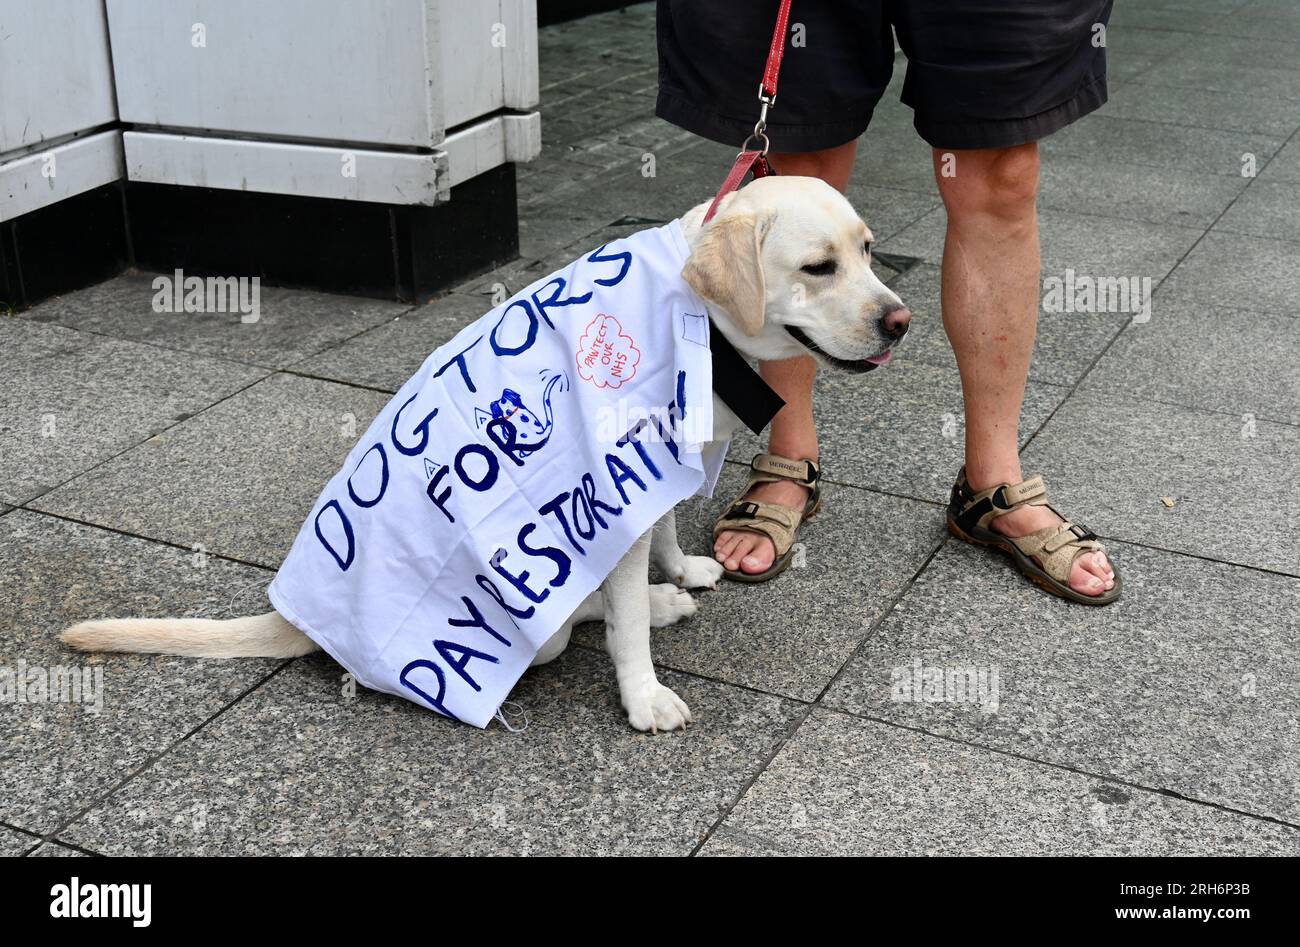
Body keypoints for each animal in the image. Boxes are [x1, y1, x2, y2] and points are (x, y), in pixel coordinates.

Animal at [61, 175, 909, 733]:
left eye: (870, 251)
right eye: (818, 267)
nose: (900, 321)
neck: (699, 317)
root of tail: (302, 619)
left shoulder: (658, 469)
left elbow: (664, 536)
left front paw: (676, 572)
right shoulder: (619, 495)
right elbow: (627, 626)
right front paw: (644, 695)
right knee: (575, 620)